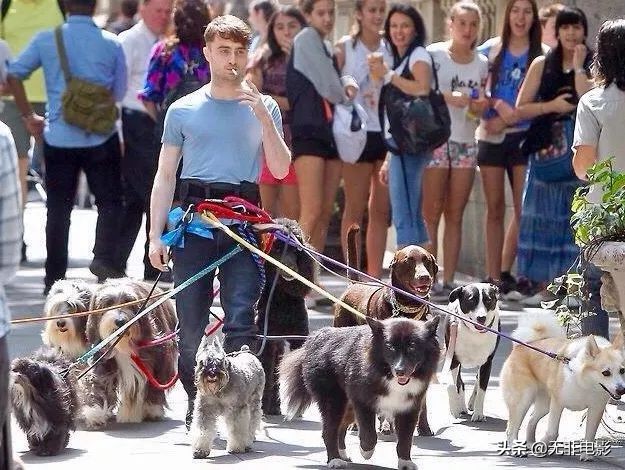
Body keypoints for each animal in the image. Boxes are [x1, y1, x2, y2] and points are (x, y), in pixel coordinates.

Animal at [84, 278, 178, 426]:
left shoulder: (155, 358)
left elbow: (152, 381)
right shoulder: (103, 357)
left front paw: (151, 408)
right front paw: (95, 412)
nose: (120, 321)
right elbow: (99, 380)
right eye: (108, 303)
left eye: (128, 302)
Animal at [256, 217, 315, 416]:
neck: (281, 298)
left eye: (296, 250)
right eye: (277, 249)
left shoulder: (300, 335)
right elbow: (266, 370)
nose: (290, 266)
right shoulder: (266, 340)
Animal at [279, 316, 440, 469]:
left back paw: (342, 454)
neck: (386, 374)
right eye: (390, 347)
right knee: (329, 430)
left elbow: (406, 439)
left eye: (412, 347)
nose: (400, 371)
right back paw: (335, 460)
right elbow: (369, 434)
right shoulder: (363, 402)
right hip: (334, 400)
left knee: (340, 428)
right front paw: (366, 451)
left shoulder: (409, 408)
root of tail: (314, 338)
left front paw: (405, 462)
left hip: (348, 407)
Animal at [444, 283, 500, 422]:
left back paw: (471, 403)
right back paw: (461, 407)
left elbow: (482, 389)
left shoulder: (487, 363)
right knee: (460, 383)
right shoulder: (453, 359)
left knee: (477, 380)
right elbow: (452, 385)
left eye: (488, 300)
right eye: (471, 300)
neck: (474, 334)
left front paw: (479, 414)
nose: (481, 318)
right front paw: (454, 409)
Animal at [501, 313, 625, 461]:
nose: (622, 390)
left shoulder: (596, 409)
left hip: (544, 405)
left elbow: (590, 433)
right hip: (523, 400)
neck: (585, 383)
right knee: (511, 428)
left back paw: (531, 443)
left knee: (531, 420)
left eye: (622, 371)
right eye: (606, 373)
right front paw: (543, 446)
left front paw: (587, 454)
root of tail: (524, 345)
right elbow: (553, 432)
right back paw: (515, 448)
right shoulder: (557, 404)